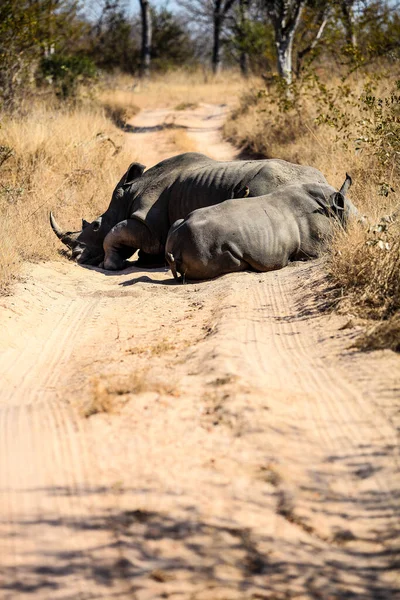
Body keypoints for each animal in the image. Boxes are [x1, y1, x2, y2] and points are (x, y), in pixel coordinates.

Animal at [49, 151, 328, 270]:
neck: (129, 195)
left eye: (95, 225)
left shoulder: (146, 223)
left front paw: (111, 265)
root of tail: (327, 183)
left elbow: (116, 232)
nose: (76, 255)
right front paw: (148, 262)